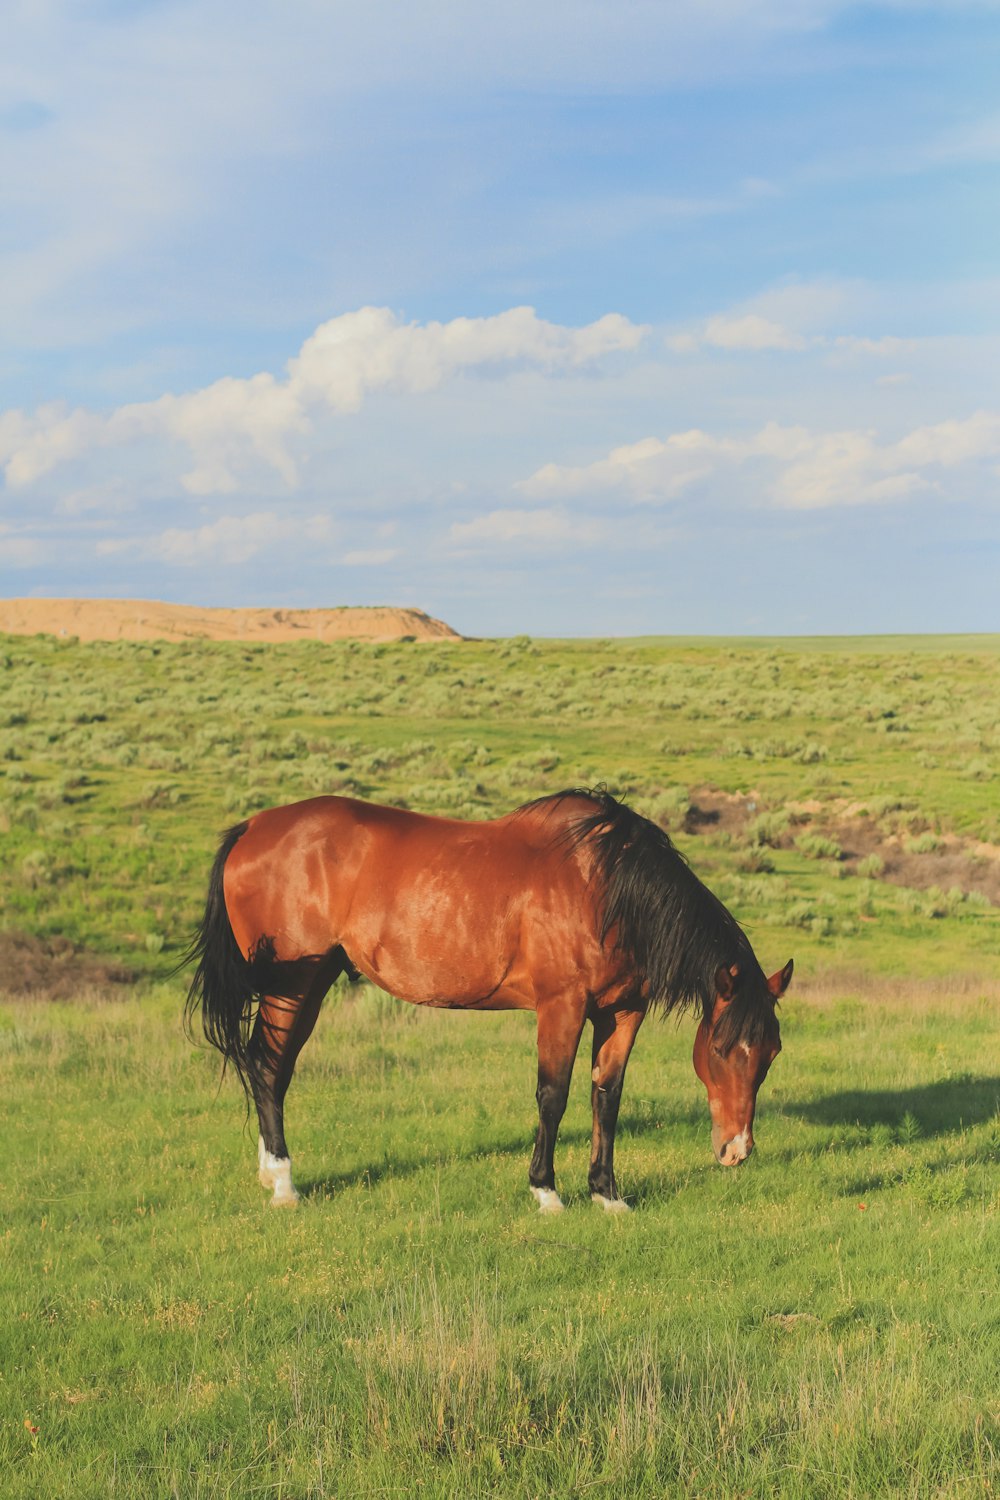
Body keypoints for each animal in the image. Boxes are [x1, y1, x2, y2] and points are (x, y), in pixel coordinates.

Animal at [185, 792, 797, 1212]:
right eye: (721, 1049)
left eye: (770, 1054)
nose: (737, 1150)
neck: (606, 886)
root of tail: (253, 828)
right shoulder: (562, 1006)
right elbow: (553, 1096)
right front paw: (546, 1192)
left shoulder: (622, 1012)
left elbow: (607, 1097)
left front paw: (606, 1193)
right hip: (293, 985)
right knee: (268, 1068)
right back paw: (284, 1183)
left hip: (311, 983)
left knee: (271, 1068)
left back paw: (270, 1173)